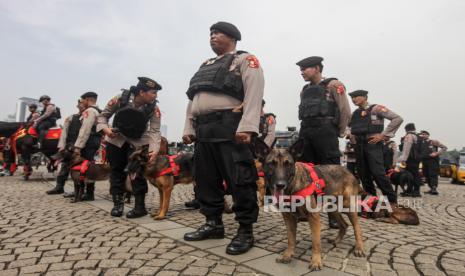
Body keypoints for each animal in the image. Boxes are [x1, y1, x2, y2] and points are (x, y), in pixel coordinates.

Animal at [256, 140, 364, 272]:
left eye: (288, 164)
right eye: (271, 164)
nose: (280, 185)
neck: (292, 186)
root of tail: (350, 173)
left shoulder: (314, 217)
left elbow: (316, 242)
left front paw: (316, 261)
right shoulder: (288, 218)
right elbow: (290, 239)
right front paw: (287, 255)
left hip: (349, 207)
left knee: (357, 228)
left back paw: (359, 248)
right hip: (332, 209)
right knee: (344, 225)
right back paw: (336, 240)